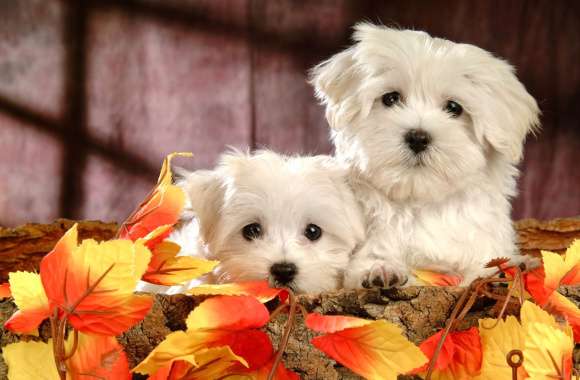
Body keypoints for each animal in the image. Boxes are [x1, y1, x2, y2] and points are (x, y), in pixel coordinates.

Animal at [310, 23, 540, 288]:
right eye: (390, 98)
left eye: (454, 108)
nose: (418, 138)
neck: (420, 201)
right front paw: (380, 269)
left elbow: (482, 265)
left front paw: (506, 269)